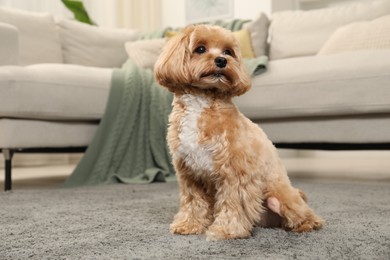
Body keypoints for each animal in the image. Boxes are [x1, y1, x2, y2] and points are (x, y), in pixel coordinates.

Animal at [155, 24, 322, 242]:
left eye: (228, 51)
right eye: (200, 49)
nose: (221, 60)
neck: (202, 102)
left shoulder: (235, 172)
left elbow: (233, 204)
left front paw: (227, 230)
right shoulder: (189, 174)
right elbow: (193, 202)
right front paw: (189, 224)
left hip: (280, 194)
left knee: (304, 213)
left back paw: (306, 224)